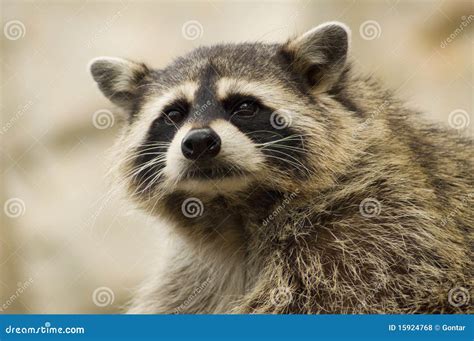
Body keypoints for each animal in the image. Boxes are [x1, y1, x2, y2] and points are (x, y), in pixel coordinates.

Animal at [90, 21, 472, 314]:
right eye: (173, 114)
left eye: (244, 107)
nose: (198, 142)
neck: (234, 210)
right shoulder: (189, 277)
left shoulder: (377, 235)